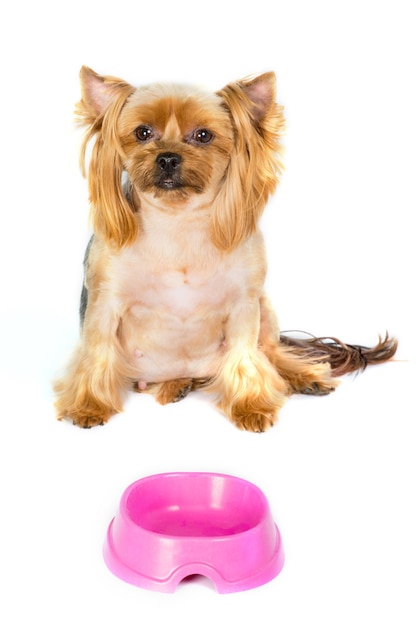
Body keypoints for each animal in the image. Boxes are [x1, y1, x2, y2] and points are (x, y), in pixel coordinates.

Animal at [53, 68, 398, 428]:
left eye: (203, 135)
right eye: (142, 132)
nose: (167, 158)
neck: (178, 221)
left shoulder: (245, 304)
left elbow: (246, 357)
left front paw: (251, 406)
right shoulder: (103, 302)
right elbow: (97, 354)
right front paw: (89, 406)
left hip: (265, 308)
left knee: (271, 354)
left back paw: (303, 377)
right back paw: (176, 384)